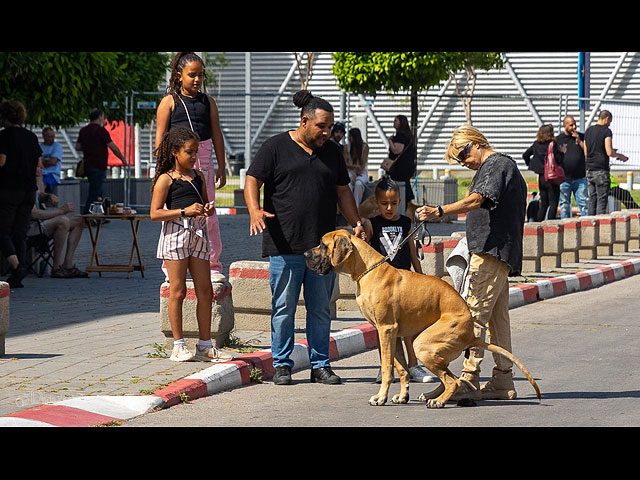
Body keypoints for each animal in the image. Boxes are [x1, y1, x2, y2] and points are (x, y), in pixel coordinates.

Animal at [304, 230, 540, 408]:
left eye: (322, 245)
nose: (305, 253)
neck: (367, 271)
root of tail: (471, 335)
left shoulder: (385, 330)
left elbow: (387, 368)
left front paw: (381, 397)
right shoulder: (394, 334)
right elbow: (401, 369)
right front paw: (402, 396)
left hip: (423, 344)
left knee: (452, 381)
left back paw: (439, 401)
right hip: (433, 348)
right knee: (449, 377)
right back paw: (434, 395)